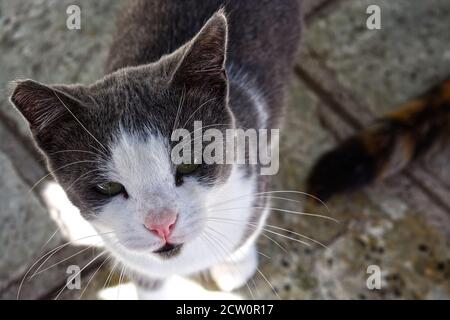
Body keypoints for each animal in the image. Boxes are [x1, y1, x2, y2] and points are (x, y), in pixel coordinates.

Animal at [7, 0, 302, 300]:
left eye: (188, 162)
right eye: (108, 187)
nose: (162, 224)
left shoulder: (254, 172)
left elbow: (250, 225)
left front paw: (235, 265)